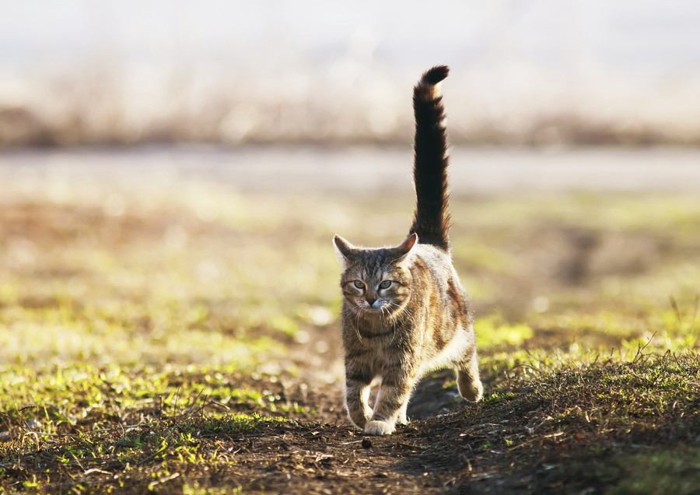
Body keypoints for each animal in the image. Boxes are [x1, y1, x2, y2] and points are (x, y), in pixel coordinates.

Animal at [334, 64, 482, 436]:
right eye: (359, 283)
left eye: (385, 283)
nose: (371, 298)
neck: (375, 328)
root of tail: (427, 241)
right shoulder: (355, 360)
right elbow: (353, 392)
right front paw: (362, 416)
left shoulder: (402, 360)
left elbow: (392, 392)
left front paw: (379, 420)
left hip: (454, 330)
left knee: (467, 354)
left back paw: (471, 389)